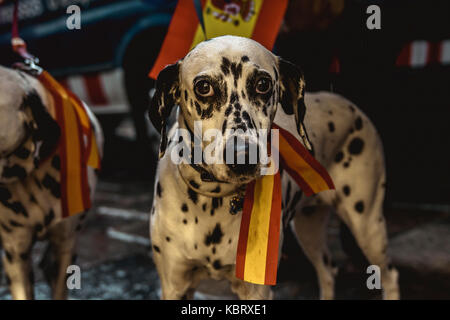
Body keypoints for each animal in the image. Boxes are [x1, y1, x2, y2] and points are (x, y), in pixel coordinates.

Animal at [147, 35, 398, 300]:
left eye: (263, 84)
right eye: (204, 87)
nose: (243, 155)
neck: (213, 202)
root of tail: (349, 104)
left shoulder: (257, 289)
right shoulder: (175, 285)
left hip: (367, 224)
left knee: (390, 275)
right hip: (309, 227)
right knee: (328, 271)